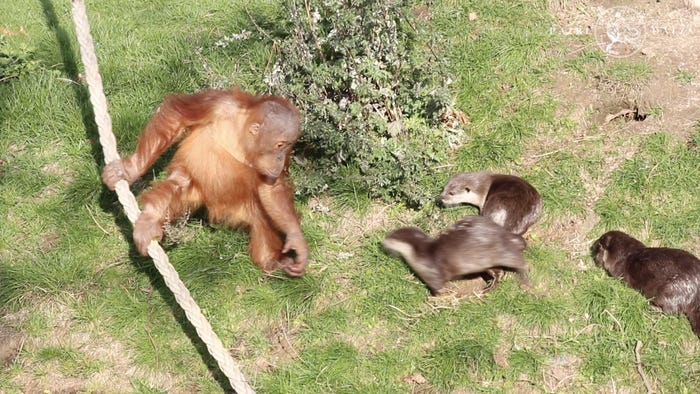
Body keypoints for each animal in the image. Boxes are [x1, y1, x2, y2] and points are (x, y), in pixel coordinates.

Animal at [382, 215, 532, 296]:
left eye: (390, 237)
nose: (382, 242)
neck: (420, 255)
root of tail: (502, 233)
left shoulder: (432, 274)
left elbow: (438, 286)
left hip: (499, 252)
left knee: (516, 263)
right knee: (499, 272)